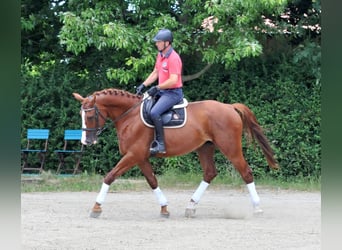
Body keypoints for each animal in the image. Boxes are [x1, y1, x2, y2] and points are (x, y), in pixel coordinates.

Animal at [73, 89, 280, 218]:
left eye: (90, 116)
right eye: (81, 115)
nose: (86, 142)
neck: (129, 116)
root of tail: (229, 107)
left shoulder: (133, 155)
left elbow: (110, 176)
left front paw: (96, 207)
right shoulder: (140, 157)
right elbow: (152, 181)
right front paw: (164, 208)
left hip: (230, 148)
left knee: (246, 172)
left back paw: (257, 208)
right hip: (205, 147)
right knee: (210, 173)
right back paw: (191, 206)